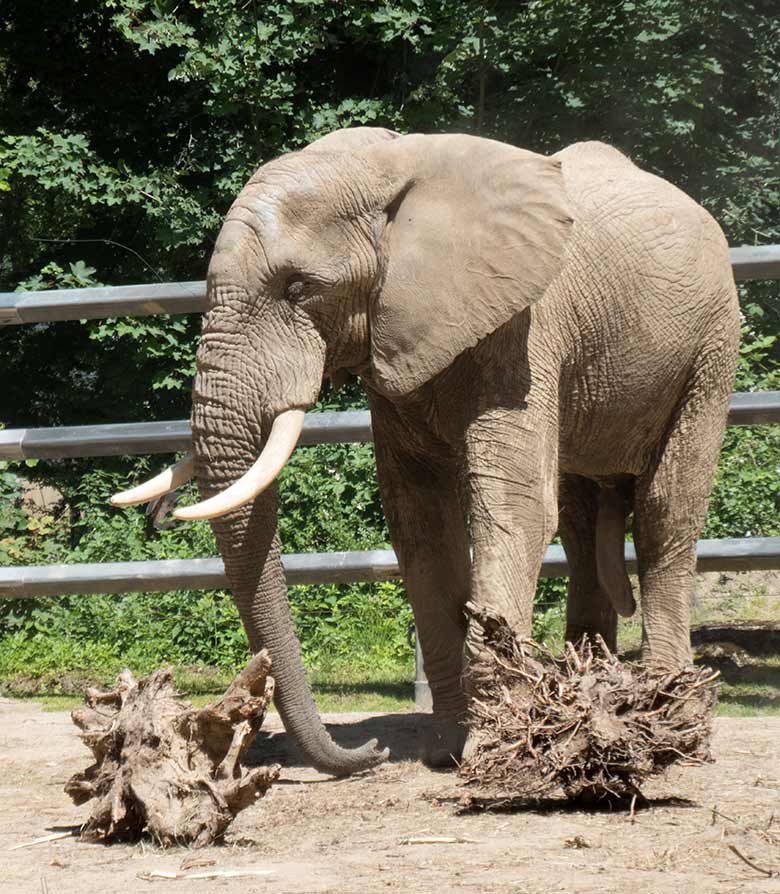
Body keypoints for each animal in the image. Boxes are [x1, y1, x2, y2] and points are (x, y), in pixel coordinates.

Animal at [109, 126, 736, 776]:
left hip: (711, 348)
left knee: (667, 508)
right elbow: (420, 520)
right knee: (581, 520)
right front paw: (448, 751)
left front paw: (495, 747)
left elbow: (514, 507)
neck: (395, 166)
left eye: (299, 288)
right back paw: (596, 687)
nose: (372, 750)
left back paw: (668, 715)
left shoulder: (525, 329)